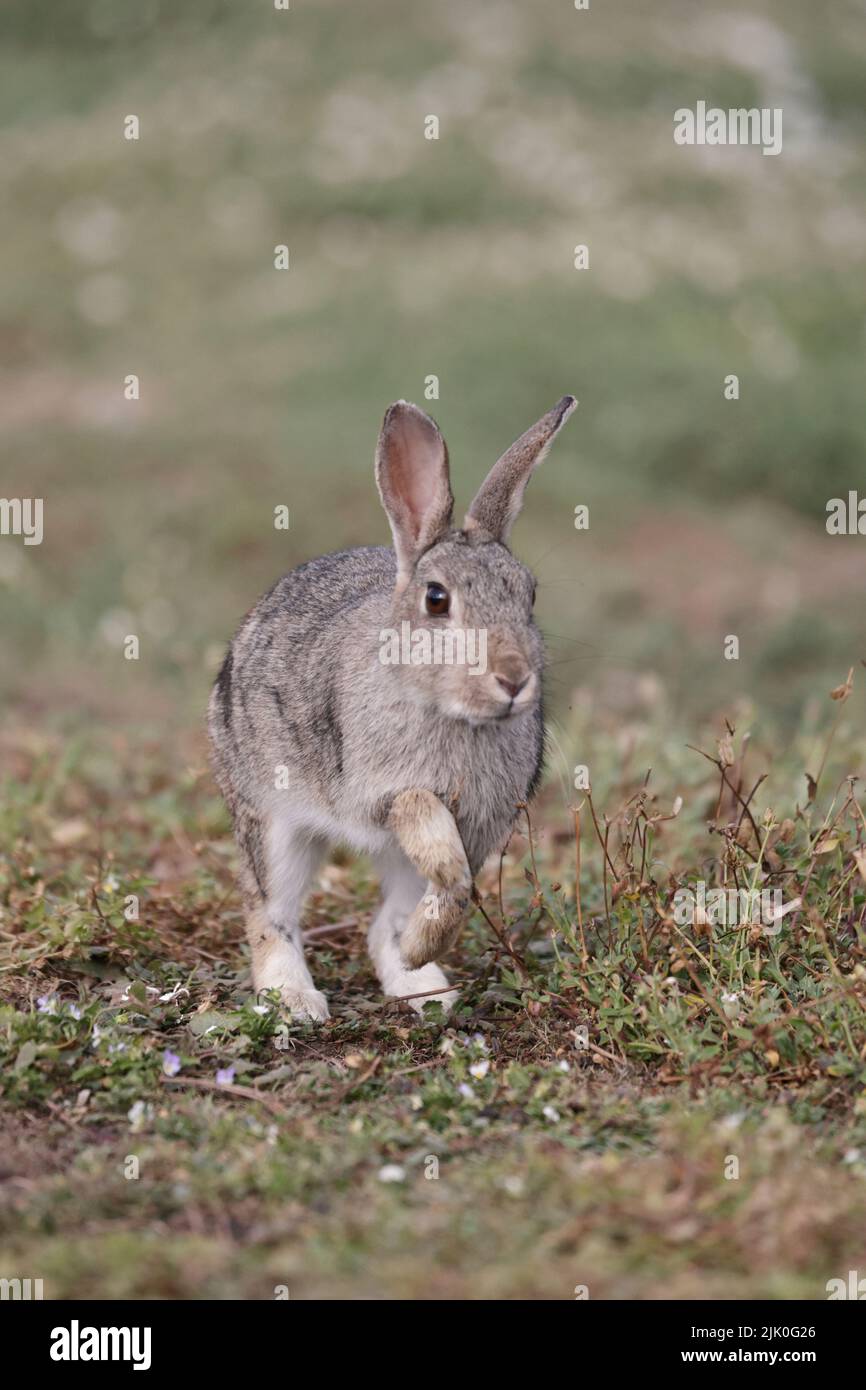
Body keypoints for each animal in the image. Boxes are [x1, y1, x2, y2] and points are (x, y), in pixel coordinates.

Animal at [208, 395, 576, 1020]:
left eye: (529, 594)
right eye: (437, 599)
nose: (513, 680)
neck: (449, 711)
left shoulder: (484, 823)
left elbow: (457, 886)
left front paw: (421, 949)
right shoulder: (381, 793)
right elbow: (441, 855)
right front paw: (423, 945)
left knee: (386, 922)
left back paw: (421, 980)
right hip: (270, 817)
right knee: (269, 910)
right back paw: (296, 999)